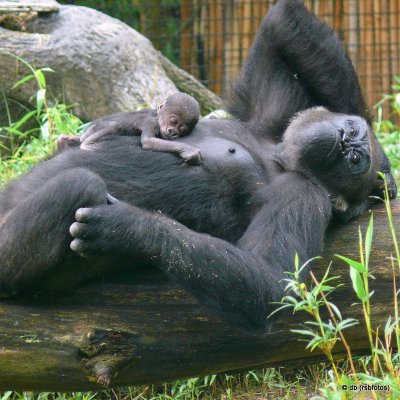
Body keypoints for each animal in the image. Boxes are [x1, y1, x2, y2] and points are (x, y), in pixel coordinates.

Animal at [57, 93, 202, 164]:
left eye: (182, 130)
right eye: (173, 121)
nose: (173, 132)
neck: (156, 116)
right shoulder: (151, 123)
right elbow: (148, 141)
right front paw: (188, 150)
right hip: (94, 128)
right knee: (113, 126)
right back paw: (86, 145)